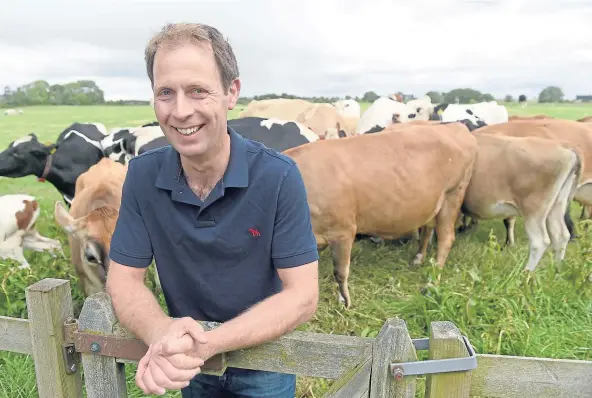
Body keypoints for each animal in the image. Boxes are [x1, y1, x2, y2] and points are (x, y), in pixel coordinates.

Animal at [280, 123, 476, 308]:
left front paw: (345, 302)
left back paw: (432, 282)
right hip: (433, 204)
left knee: (446, 238)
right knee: (428, 229)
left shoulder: (343, 231)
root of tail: (455, 127)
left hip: (453, 195)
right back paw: (418, 259)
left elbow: (340, 272)